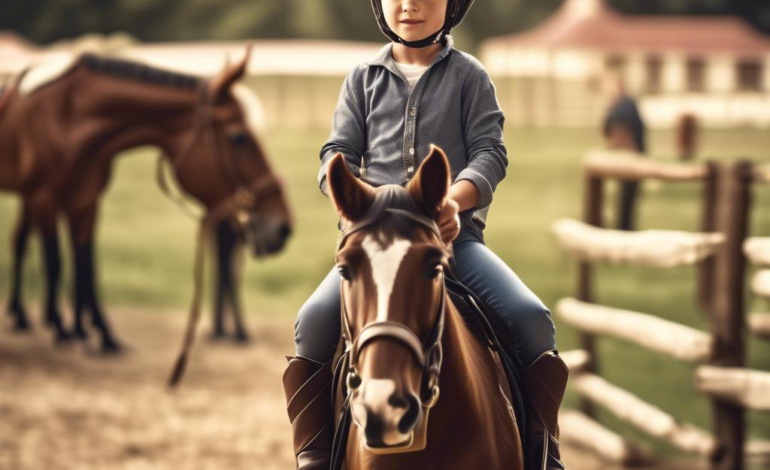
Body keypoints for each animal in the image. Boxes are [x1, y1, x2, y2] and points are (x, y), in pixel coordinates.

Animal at [0, 48, 292, 352]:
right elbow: (56, 262)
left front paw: (96, 333)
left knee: (19, 240)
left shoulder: (85, 201)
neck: (66, 116)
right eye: (238, 137)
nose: (283, 226)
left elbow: (85, 265)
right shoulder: (46, 198)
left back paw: (22, 315)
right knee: (22, 242)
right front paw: (64, 328)